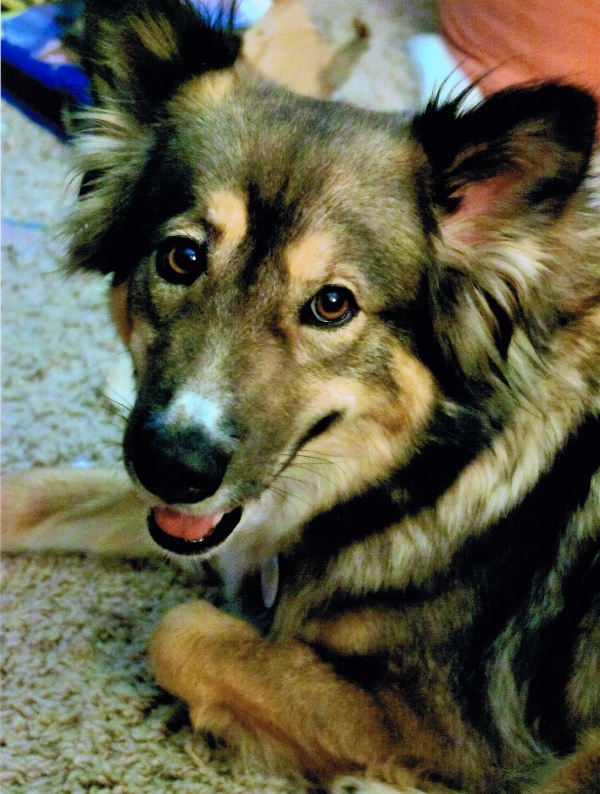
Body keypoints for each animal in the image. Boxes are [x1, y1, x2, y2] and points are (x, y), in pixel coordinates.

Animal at [4, 0, 600, 791]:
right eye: (181, 258)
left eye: (332, 305)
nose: (174, 469)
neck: (433, 468)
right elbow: (43, 491)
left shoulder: (443, 726)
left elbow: (179, 630)